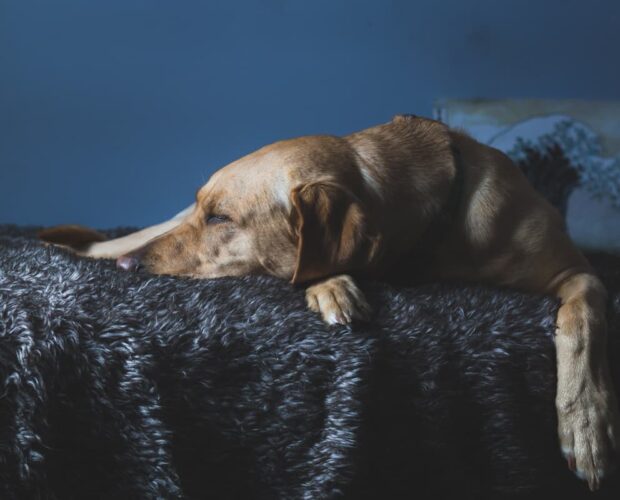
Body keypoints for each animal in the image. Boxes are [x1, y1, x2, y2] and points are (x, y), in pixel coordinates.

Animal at [41, 113, 616, 488]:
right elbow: (315, 267)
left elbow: (582, 325)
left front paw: (586, 425)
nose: (129, 271)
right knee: (95, 245)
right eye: (207, 210)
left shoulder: (580, 275)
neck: (432, 235)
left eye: (222, 218)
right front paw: (332, 285)